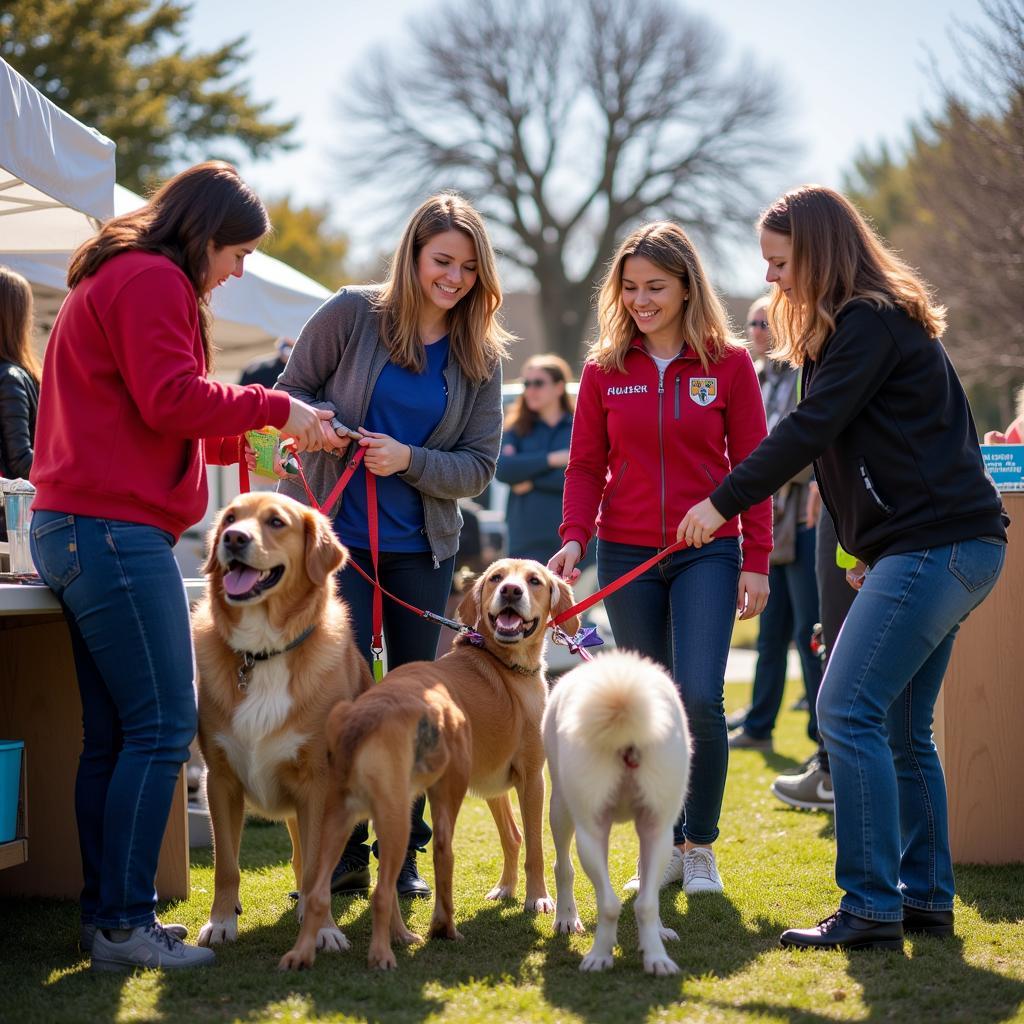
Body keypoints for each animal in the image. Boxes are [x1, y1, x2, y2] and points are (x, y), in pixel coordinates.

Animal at [280, 561, 581, 966]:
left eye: (534, 580)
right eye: (496, 578)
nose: (511, 591)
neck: (500, 662)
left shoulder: (497, 782)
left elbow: (517, 838)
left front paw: (512, 890)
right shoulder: (533, 778)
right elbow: (535, 846)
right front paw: (538, 898)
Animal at [540, 651, 692, 970]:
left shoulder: (656, 830)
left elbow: (647, 902)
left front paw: (656, 956)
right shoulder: (591, 833)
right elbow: (608, 904)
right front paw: (599, 955)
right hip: (561, 808)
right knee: (563, 865)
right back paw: (566, 918)